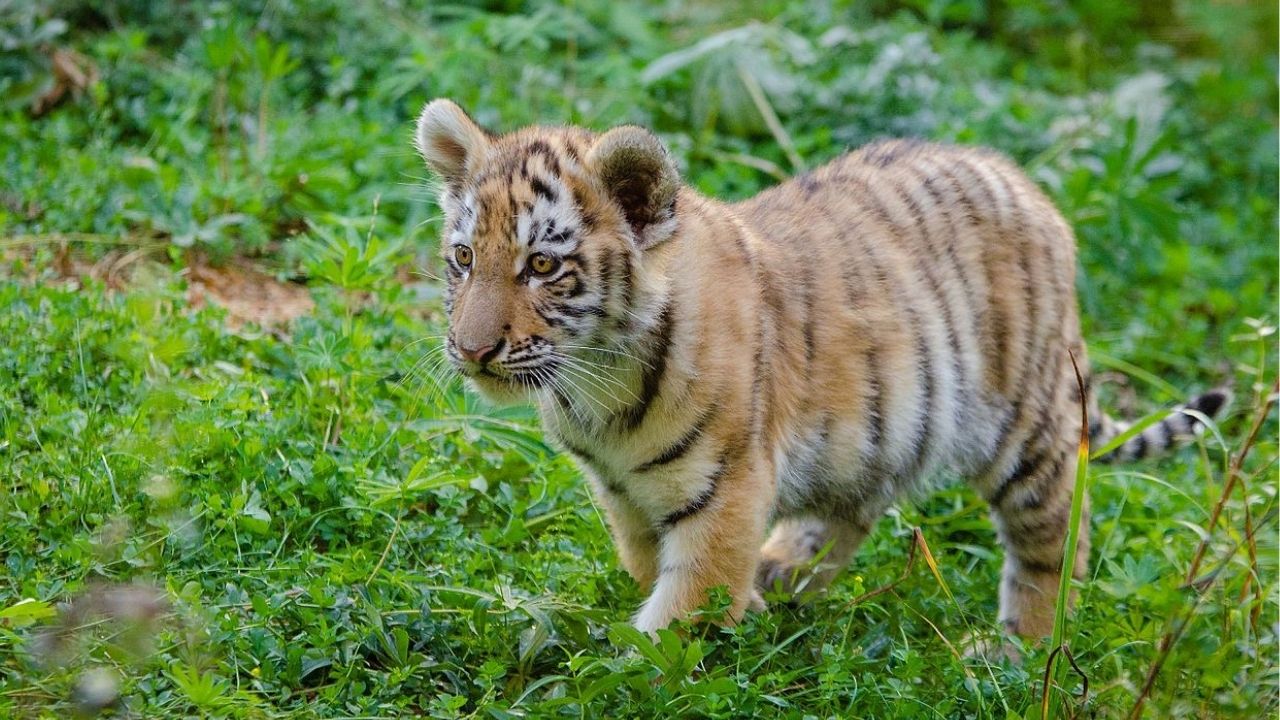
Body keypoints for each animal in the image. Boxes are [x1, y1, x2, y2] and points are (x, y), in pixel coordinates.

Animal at [412, 98, 1230, 643]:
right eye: (464, 258)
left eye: (542, 266)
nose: (472, 350)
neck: (595, 386)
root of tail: (1026, 184)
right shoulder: (620, 491)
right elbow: (648, 565)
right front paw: (748, 606)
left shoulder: (726, 485)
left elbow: (682, 608)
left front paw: (642, 664)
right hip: (880, 428)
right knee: (859, 504)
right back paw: (785, 577)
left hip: (1025, 426)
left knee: (1057, 533)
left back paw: (1020, 653)